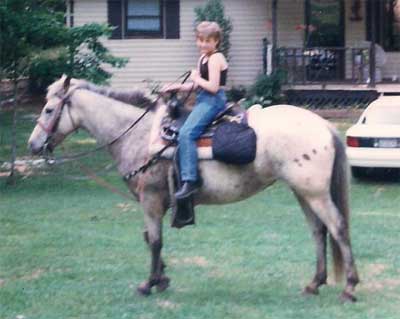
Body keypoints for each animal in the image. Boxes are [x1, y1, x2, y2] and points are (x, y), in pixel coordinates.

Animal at [27, 77, 360, 302]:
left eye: (49, 110)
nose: (33, 145)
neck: (139, 136)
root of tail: (324, 125)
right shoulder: (150, 203)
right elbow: (150, 238)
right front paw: (162, 278)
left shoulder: (150, 200)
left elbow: (155, 241)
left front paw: (149, 284)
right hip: (302, 192)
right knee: (318, 231)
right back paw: (314, 284)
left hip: (314, 193)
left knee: (338, 228)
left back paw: (349, 287)